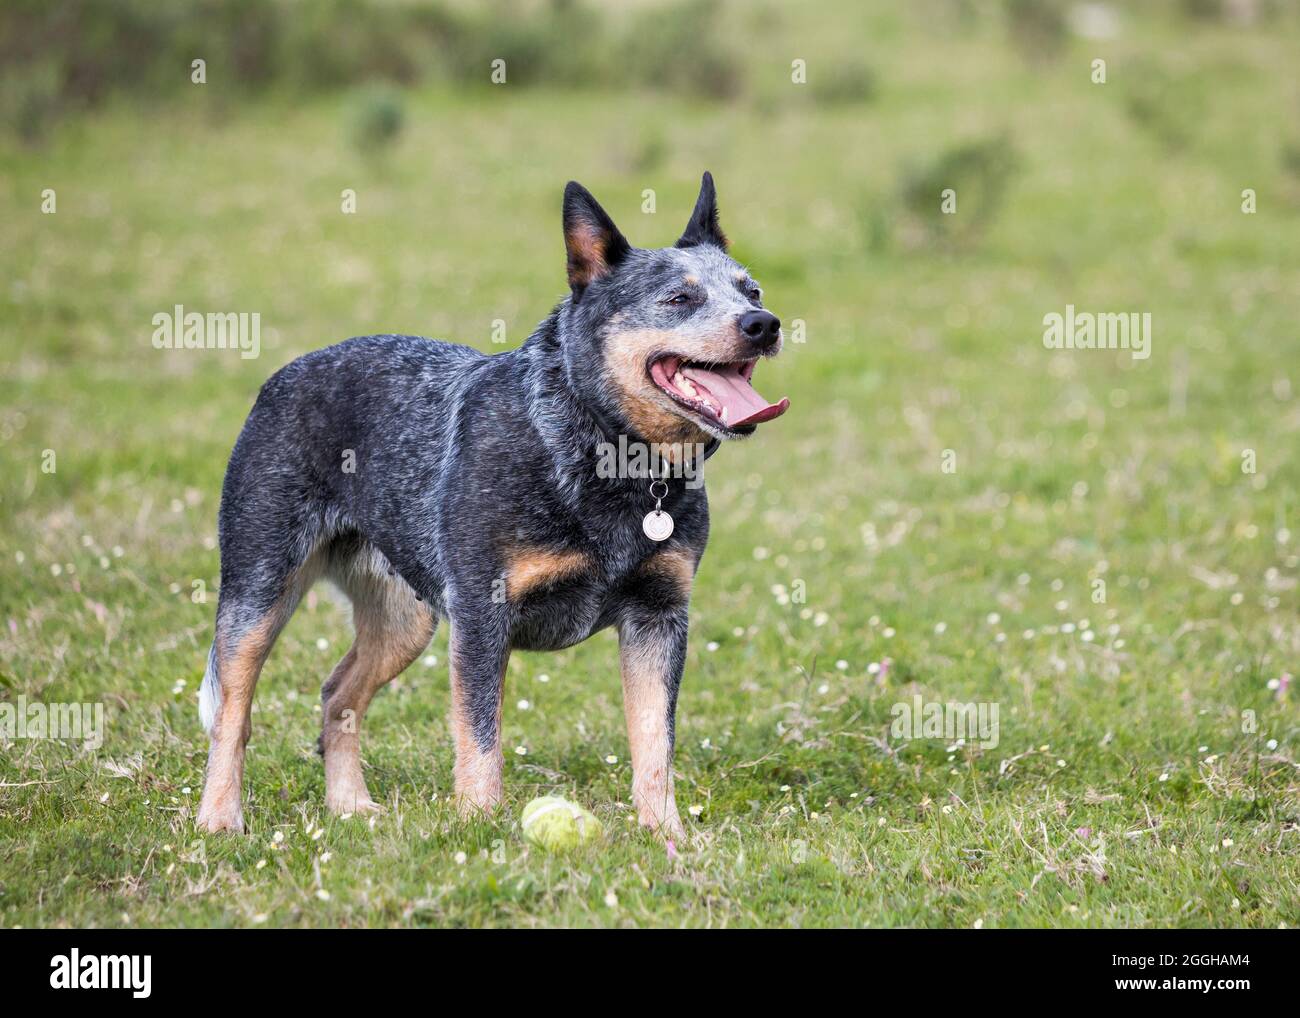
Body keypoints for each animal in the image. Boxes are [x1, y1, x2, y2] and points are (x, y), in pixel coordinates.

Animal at [195, 173, 789, 838]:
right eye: (680, 298)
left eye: (751, 289)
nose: (765, 323)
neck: (600, 449)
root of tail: (283, 375)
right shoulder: (483, 612)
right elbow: (480, 738)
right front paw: (479, 828)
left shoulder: (659, 616)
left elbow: (655, 743)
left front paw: (667, 837)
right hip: (259, 586)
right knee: (233, 711)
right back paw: (219, 818)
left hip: (406, 619)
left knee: (337, 694)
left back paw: (350, 806)